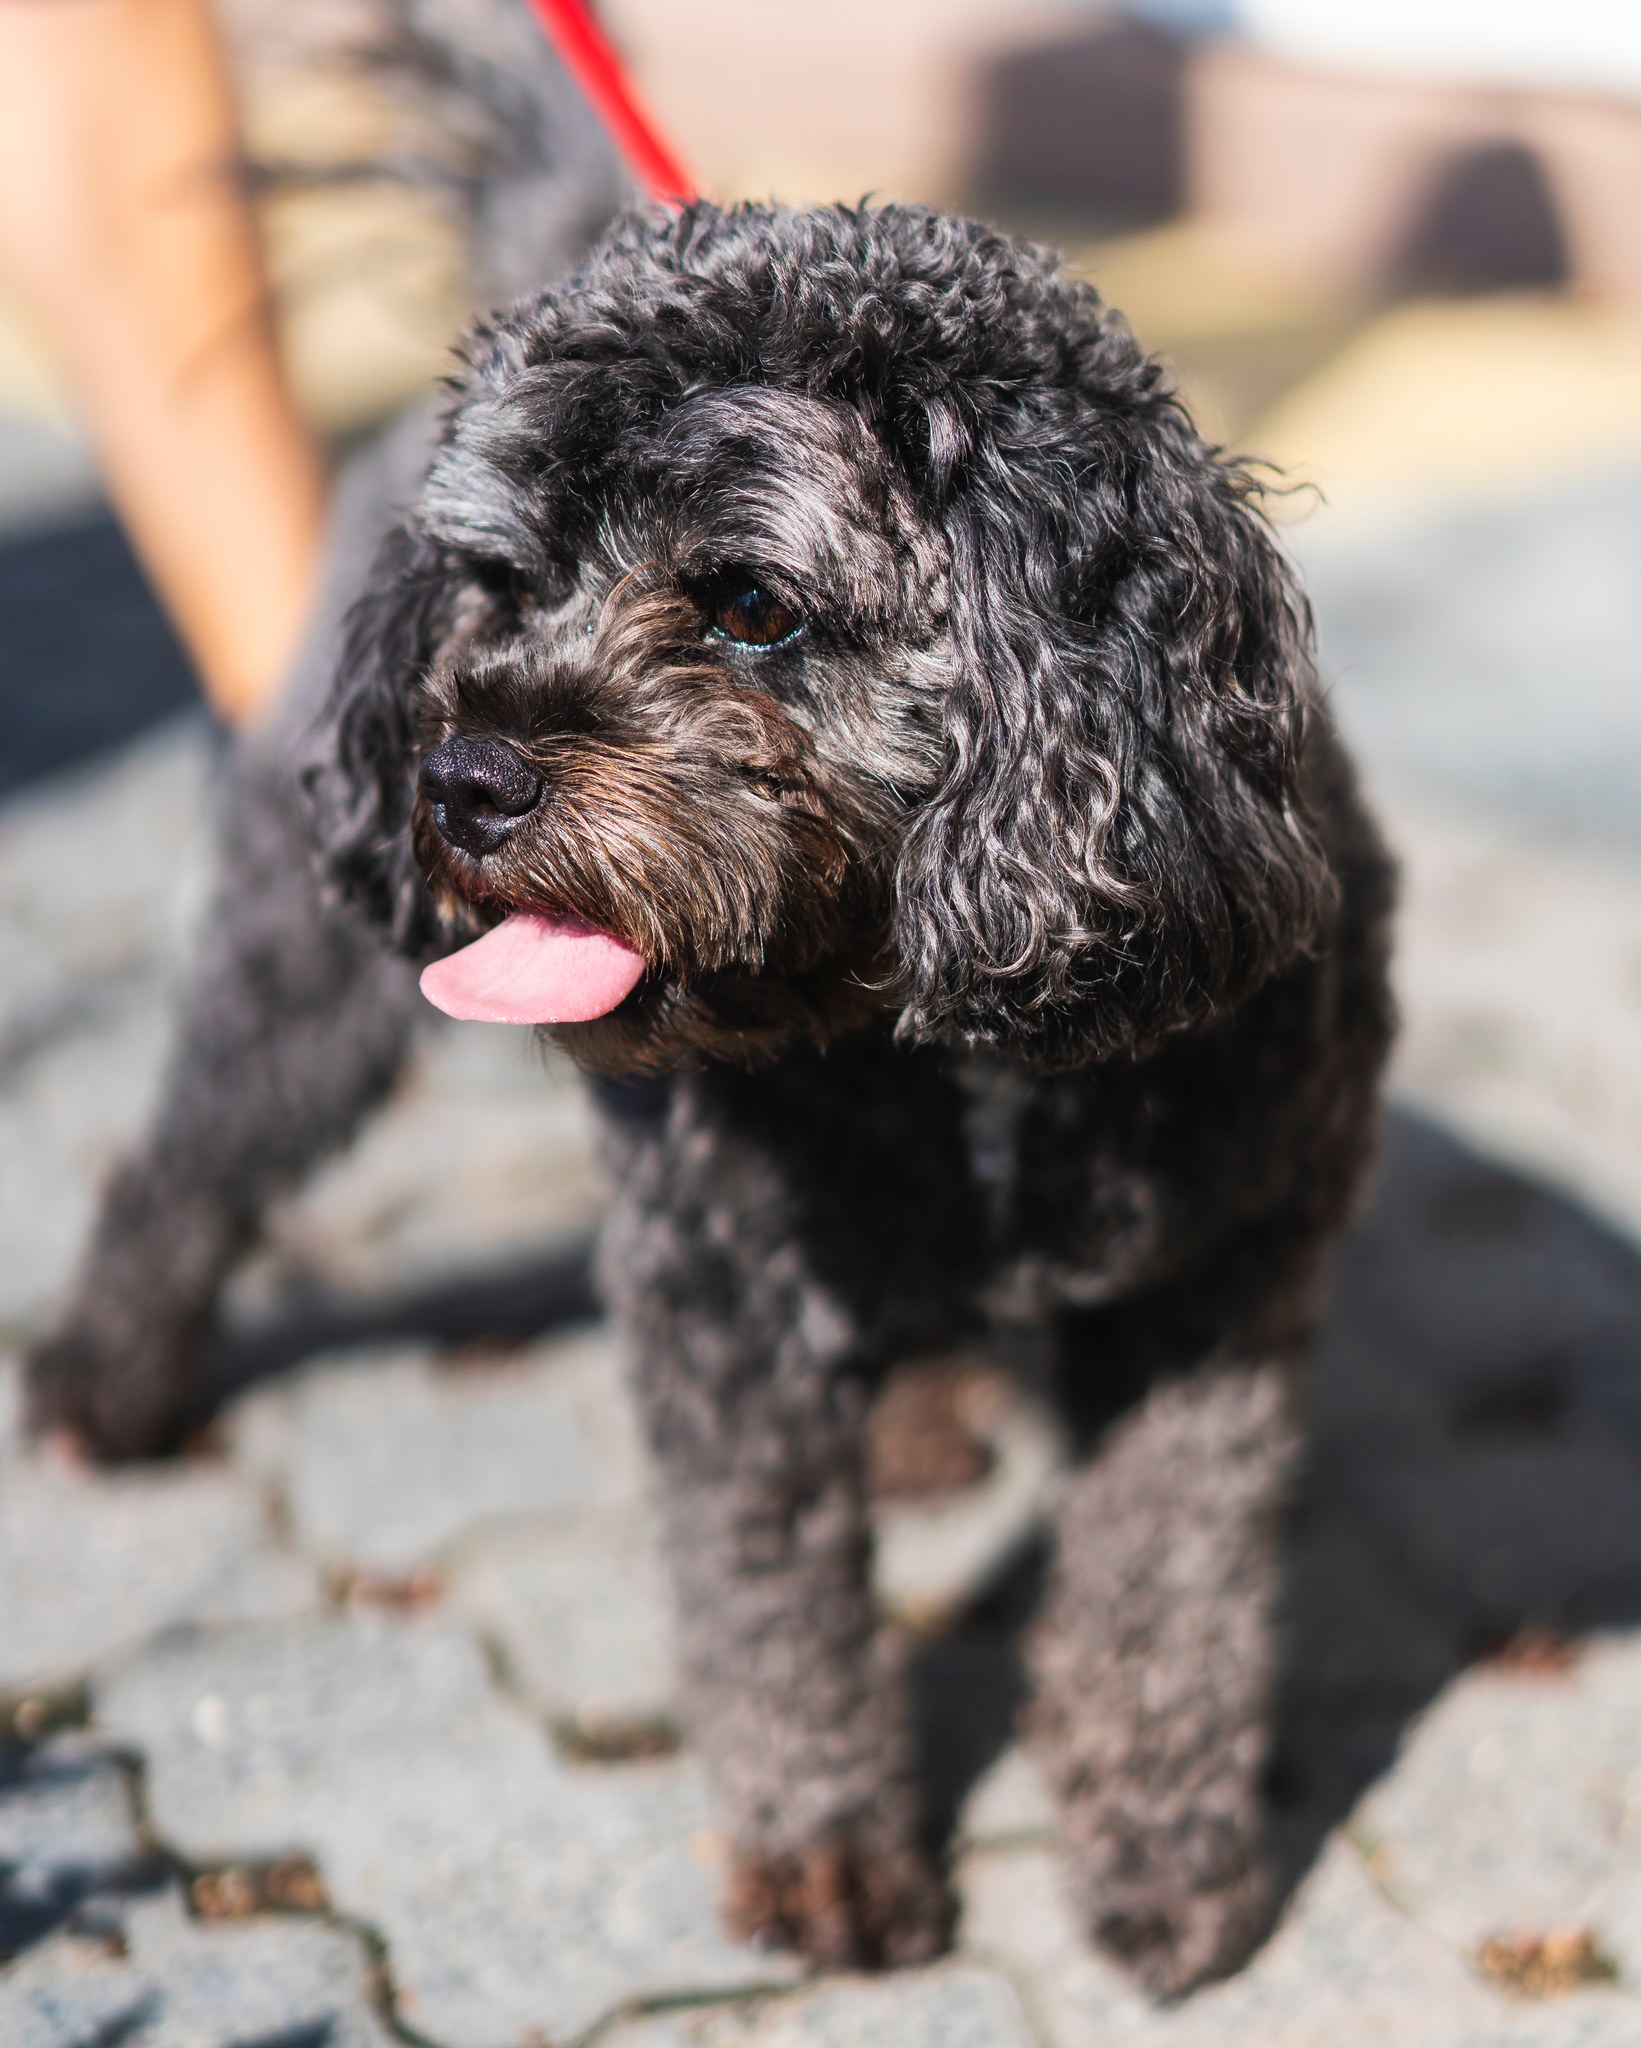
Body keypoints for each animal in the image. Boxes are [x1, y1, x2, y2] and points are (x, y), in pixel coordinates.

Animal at [32, 188, 1393, 1982]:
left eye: (751, 604)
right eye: (502, 580)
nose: (461, 778)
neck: (928, 1034)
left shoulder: (1216, 1274)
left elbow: (1173, 1592)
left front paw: (1167, 1863)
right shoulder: (718, 1300)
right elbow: (771, 1607)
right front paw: (828, 1860)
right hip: (300, 960)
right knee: (190, 1152)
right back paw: (105, 1385)